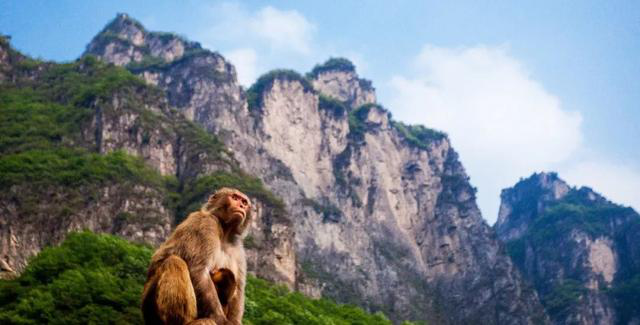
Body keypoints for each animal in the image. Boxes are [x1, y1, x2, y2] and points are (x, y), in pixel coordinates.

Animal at [142, 186, 252, 322]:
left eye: (244, 202)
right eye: (235, 197)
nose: (241, 205)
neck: (225, 232)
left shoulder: (238, 249)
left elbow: (238, 292)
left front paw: (233, 321)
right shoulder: (205, 223)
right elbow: (199, 270)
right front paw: (219, 318)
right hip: (149, 304)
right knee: (174, 261)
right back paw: (181, 320)